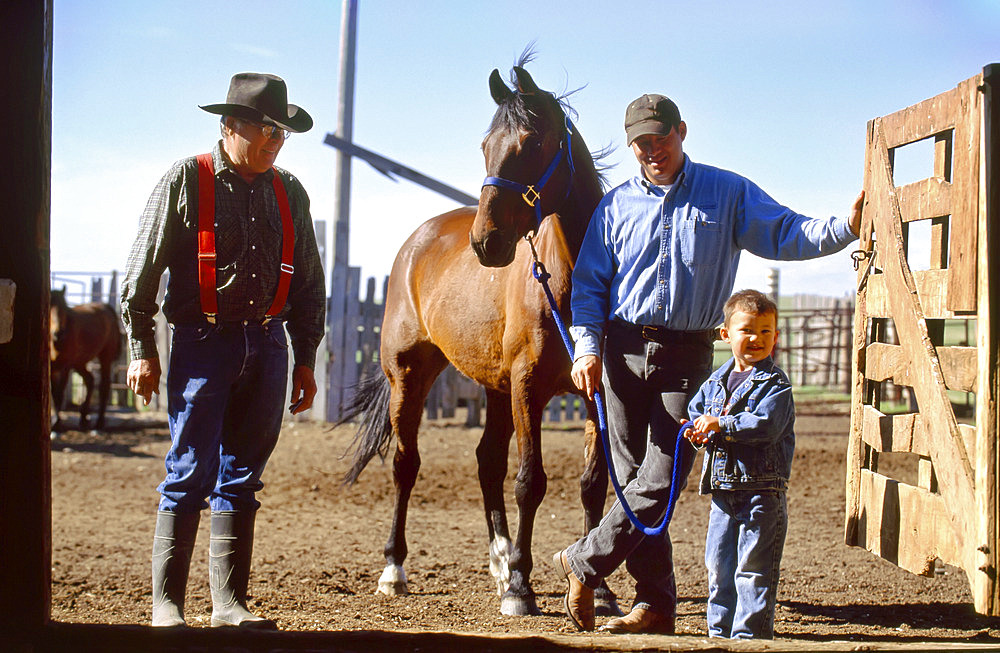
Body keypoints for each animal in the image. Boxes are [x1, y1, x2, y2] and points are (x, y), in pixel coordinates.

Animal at [50, 286, 122, 430]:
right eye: (49, 306)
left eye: (64, 308)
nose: (58, 333)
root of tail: (106, 307)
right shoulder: (51, 367)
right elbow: (54, 393)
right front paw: (55, 421)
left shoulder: (65, 366)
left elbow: (59, 393)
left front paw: (57, 423)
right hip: (79, 362)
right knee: (90, 380)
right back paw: (83, 418)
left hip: (105, 357)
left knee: (104, 386)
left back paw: (99, 422)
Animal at [340, 62, 616, 616]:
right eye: (485, 145)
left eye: (532, 143)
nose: (486, 242)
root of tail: (416, 242)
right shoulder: (528, 386)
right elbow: (530, 482)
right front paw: (522, 589)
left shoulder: (591, 388)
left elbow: (593, 485)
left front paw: (598, 590)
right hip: (409, 375)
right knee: (405, 464)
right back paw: (395, 570)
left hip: (494, 387)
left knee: (487, 461)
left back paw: (501, 560)